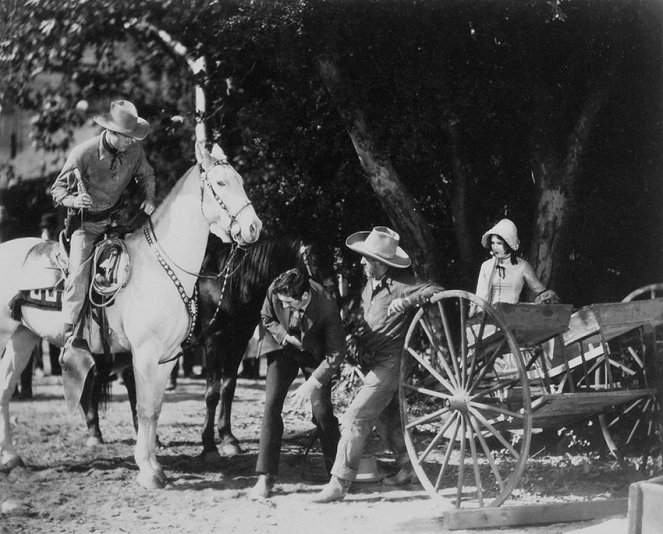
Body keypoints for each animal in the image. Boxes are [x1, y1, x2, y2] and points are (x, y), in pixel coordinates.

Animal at [0, 142, 262, 490]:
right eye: (220, 183)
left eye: (241, 181)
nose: (254, 227)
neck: (162, 266)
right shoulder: (145, 354)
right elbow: (144, 407)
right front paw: (148, 471)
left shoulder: (167, 359)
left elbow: (155, 409)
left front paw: (155, 466)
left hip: (22, 337)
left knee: (4, 390)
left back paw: (11, 458)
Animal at [195, 237, 334, 462]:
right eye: (314, 257)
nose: (334, 294)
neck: (230, 284)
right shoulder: (213, 341)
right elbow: (212, 393)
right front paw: (209, 446)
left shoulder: (238, 341)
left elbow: (228, 387)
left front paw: (228, 439)